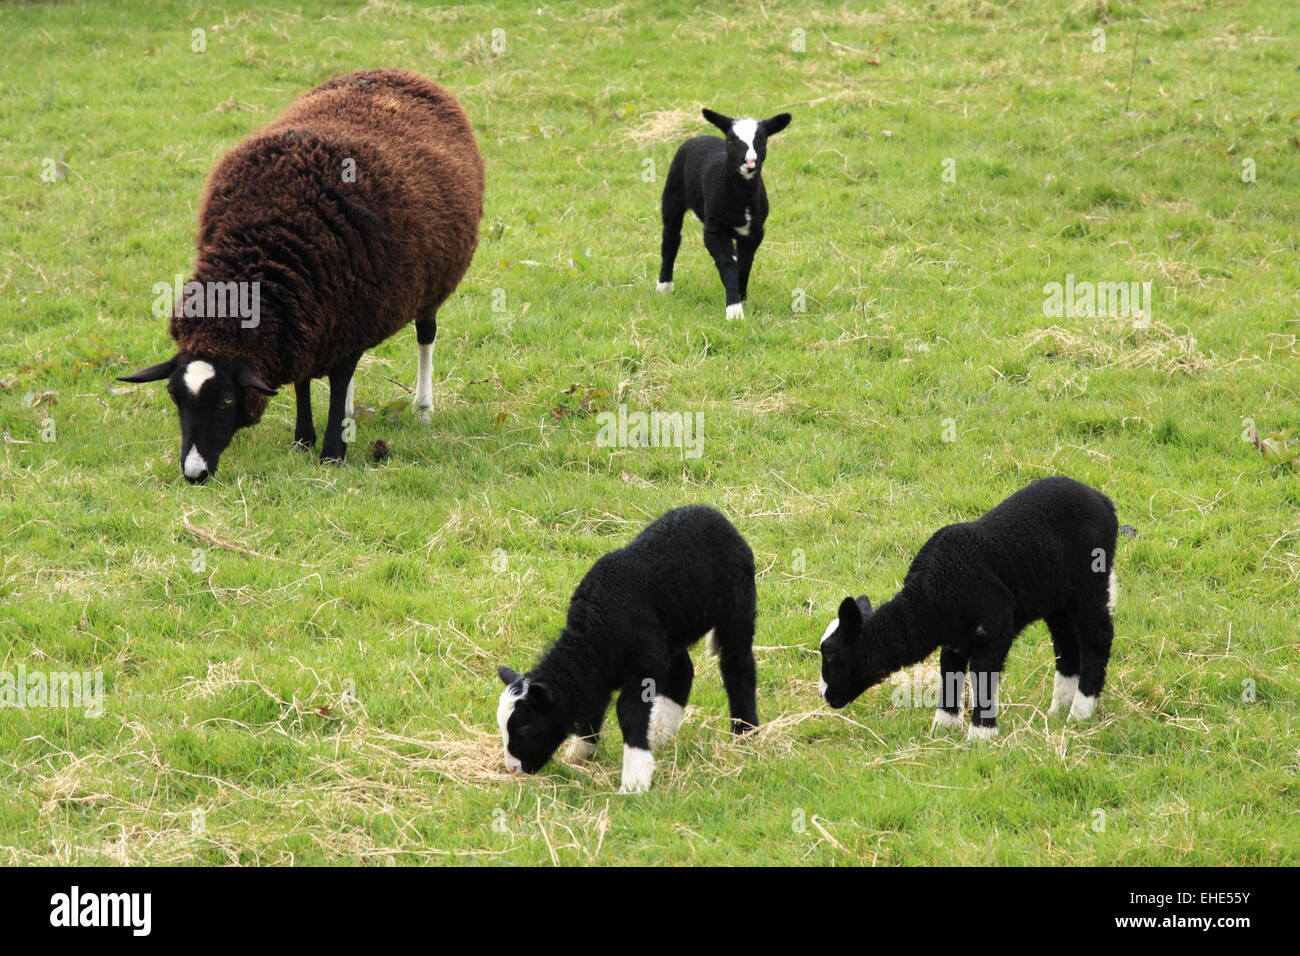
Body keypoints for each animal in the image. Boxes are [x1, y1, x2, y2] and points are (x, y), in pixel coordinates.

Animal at [119, 70, 486, 481]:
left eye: (227, 400)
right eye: (174, 397)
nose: (194, 473)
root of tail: (399, 72)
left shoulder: (349, 315)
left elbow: (339, 379)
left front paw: (332, 452)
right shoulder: (305, 318)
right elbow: (303, 379)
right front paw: (304, 438)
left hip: (430, 286)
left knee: (426, 337)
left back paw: (423, 408)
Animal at [496, 504, 759, 796]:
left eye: (525, 727)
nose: (513, 769)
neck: (595, 631)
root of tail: (711, 512)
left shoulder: (642, 668)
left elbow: (628, 712)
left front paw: (634, 779)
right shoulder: (610, 668)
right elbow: (593, 704)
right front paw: (583, 751)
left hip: (736, 608)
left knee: (737, 665)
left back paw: (745, 732)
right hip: (669, 633)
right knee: (683, 672)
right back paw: (660, 732)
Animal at [660, 107, 790, 319]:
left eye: (762, 140)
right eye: (731, 140)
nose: (750, 161)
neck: (741, 199)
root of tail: (700, 136)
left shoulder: (754, 232)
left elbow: (744, 264)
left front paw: (741, 296)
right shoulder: (714, 230)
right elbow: (728, 264)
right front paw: (734, 310)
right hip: (673, 195)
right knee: (671, 240)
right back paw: (664, 287)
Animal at [821, 478, 1118, 738]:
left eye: (832, 656)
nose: (826, 697)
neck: (929, 599)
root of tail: (1102, 500)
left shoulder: (995, 625)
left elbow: (982, 672)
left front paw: (981, 734)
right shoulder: (956, 638)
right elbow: (949, 669)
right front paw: (944, 725)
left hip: (1090, 581)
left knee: (1097, 638)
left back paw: (1081, 710)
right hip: (1055, 595)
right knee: (1066, 643)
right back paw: (1058, 708)